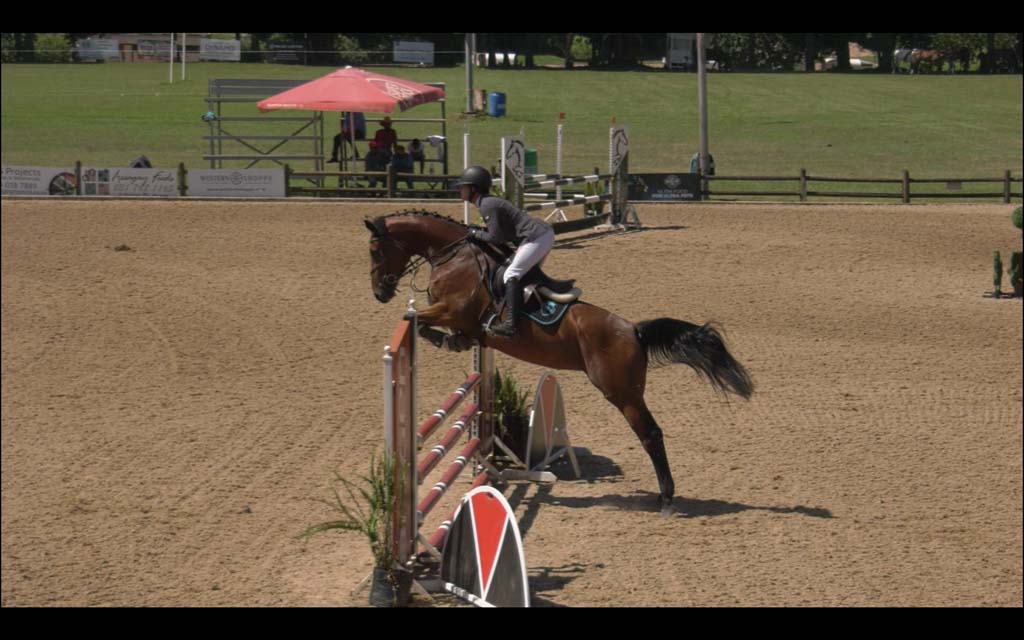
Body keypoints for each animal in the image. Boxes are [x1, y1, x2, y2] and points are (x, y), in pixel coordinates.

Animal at [365, 210, 754, 517]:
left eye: (375, 250)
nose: (380, 293)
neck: (455, 255)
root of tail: (634, 330)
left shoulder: (452, 310)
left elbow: (414, 317)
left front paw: (440, 337)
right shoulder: (460, 321)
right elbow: (427, 323)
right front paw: (452, 342)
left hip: (622, 392)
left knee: (651, 434)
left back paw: (667, 500)